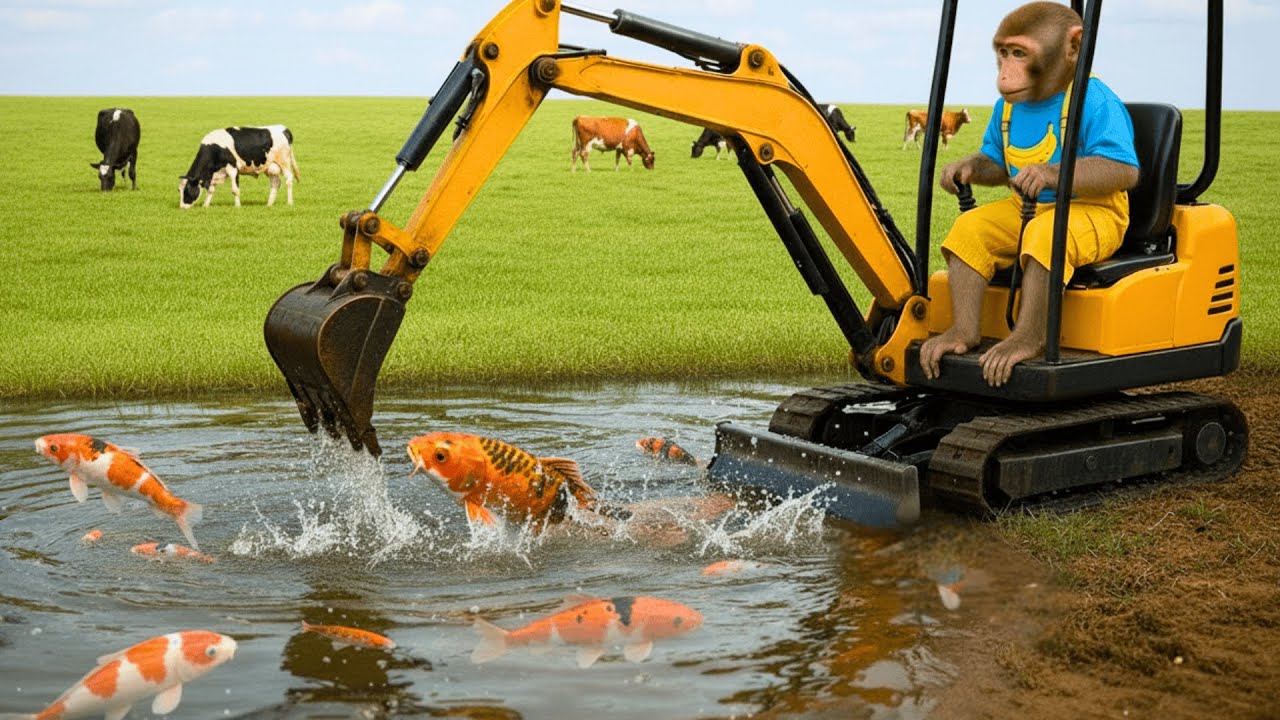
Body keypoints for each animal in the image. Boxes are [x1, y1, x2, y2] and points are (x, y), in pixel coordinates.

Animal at [919, 1, 1140, 387]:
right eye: (1004, 52)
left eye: (1020, 53)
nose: (1006, 74)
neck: (1047, 94)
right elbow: (993, 158)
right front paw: (957, 171)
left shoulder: (1101, 106)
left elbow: (1118, 166)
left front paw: (1038, 174)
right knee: (969, 233)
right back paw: (959, 337)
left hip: (1094, 229)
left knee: (1042, 244)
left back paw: (1020, 343)